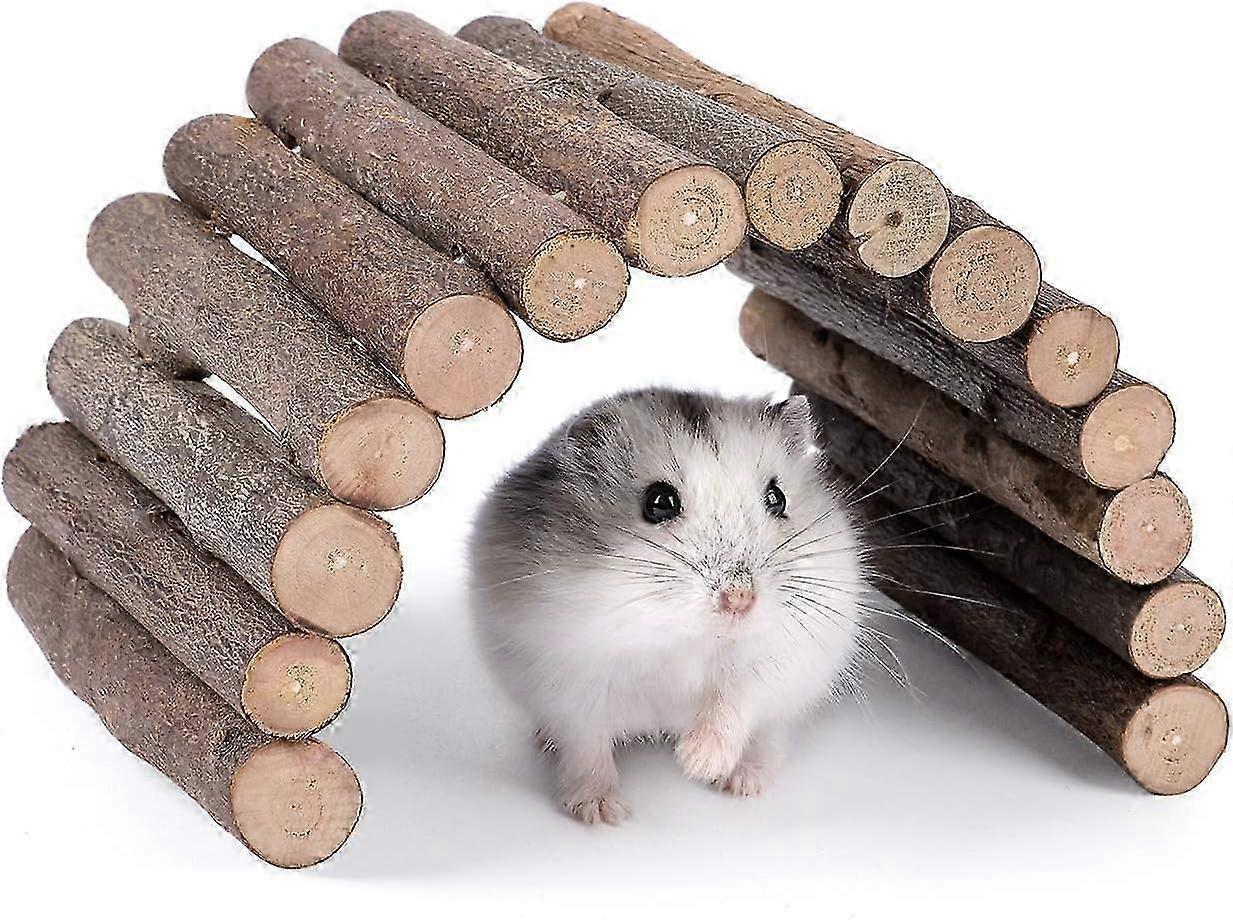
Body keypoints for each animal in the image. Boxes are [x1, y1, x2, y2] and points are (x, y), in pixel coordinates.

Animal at [468, 389, 868, 823]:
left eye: (776, 498)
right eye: (659, 502)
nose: (740, 600)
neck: (685, 636)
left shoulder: (777, 659)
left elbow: (734, 701)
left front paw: (697, 763)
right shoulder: (570, 680)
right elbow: (586, 748)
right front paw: (604, 813)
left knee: (769, 740)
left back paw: (742, 783)